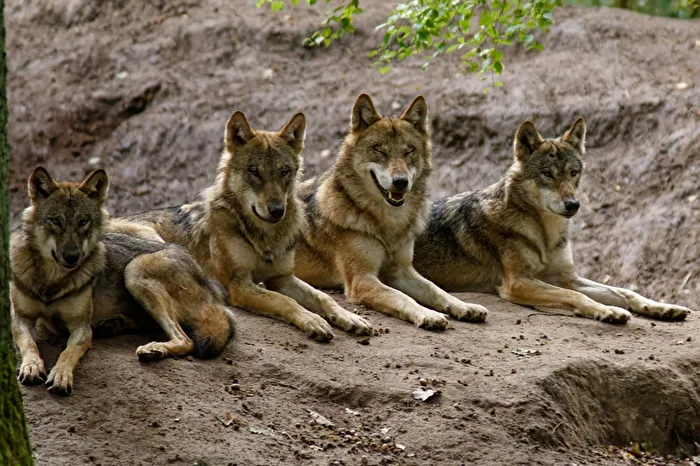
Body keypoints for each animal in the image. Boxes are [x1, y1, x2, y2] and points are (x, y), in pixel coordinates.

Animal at [11, 167, 236, 395]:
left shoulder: (81, 328)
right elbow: (28, 344)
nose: (73, 257)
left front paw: (61, 375)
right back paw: (112, 326)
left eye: (83, 221)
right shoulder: (21, 319)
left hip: (134, 269)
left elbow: (68, 353)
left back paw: (152, 348)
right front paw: (31, 366)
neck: (51, 280)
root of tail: (212, 287)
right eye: (55, 220)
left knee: (185, 340)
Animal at [116, 111, 372, 341]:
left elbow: (322, 297)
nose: (277, 210)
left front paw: (349, 317)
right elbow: (283, 300)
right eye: (254, 172)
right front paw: (313, 320)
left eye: (284, 171)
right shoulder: (239, 284)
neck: (264, 237)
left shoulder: (282, 277)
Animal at [294, 94, 488, 330]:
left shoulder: (402, 270)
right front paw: (428, 315)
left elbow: (436, 290)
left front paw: (465, 306)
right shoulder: (362, 279)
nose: (400, 182)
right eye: (380, 150)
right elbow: (403, 298)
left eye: (409, 151)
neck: (388, 224)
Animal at [413, 118, 692, 323]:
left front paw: (661, 307)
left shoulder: (567, 277)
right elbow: (575, 296)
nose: (573, 205)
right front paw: (607, 311)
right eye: (547, 174)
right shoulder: (518, 283)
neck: (544, 233)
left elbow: (625, 291)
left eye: (573, 173)